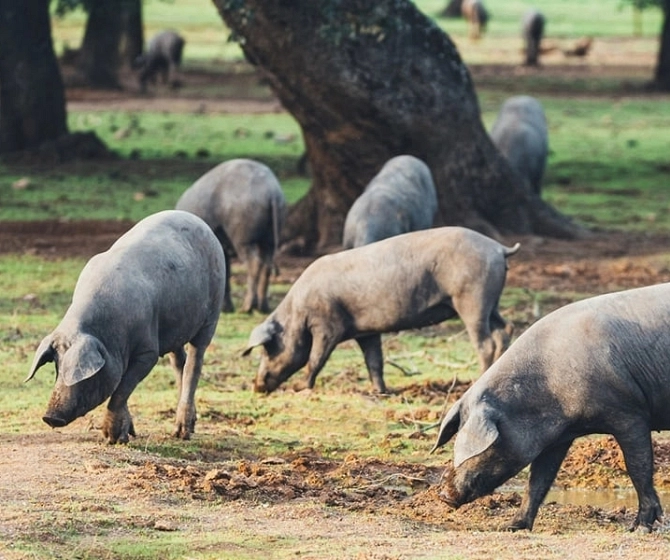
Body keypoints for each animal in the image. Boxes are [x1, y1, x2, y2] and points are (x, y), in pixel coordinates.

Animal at [25, 208, 226, 444]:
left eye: (81, 375)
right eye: (56, 366)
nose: (50, 416)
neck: (108, 334)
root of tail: (198, 220)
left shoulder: (148, 351)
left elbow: (122, 388)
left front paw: (113, 439)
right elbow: (122, 385)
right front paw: (129, 434)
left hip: (212, 311)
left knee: (195, 360)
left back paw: (181, 434)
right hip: (176, 324)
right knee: (179, 362)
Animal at [176, 159, 286, 316]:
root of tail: (272, 191)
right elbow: (227, 272)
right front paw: (227, 308)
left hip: (243, 237)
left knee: (254, 263)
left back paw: (247, 307)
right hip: (269, 237)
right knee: (267, 264)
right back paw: (263, 307)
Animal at [243, 226, 520, 394]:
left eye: (268, 349)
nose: (256, 385)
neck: (297, 313)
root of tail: (498, 248)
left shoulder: (327, 325)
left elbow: (316, 357)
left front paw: (302, 388)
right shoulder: (366, 331)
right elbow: (374, 360)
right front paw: (380, 391)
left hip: (472, 297)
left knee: (484, 341)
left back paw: (477, 379)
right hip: (491, 300)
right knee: (504, 329)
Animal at [430, 282, 670, 532]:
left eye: (469, 445)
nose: (442, 495)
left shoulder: (629, 414)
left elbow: (638, 468)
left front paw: (639, 528)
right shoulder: (558, 438)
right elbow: (538, 481)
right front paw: (510, 527)